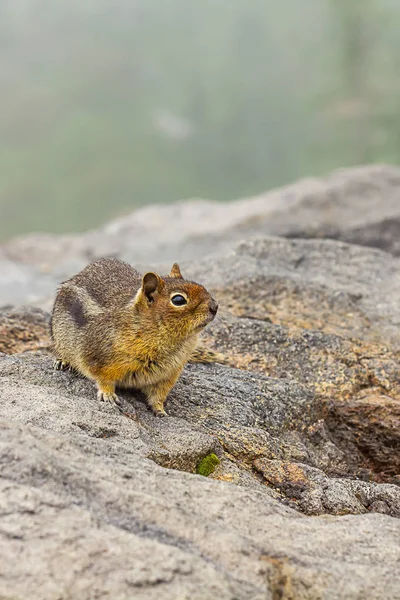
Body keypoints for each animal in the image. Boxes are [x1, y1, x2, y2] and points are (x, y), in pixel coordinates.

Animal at [50, 258, 220, 418]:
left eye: (201, 286)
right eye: (178, 300)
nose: (215, 306)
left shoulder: (167, 376)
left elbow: (157, 396)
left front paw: (160, 410)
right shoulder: (98, 358)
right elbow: (103, 379)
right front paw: (108, 394)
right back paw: (63, 361)